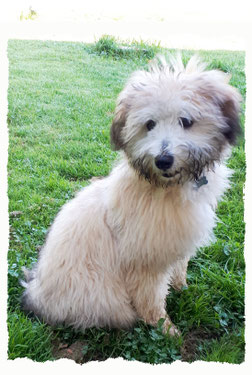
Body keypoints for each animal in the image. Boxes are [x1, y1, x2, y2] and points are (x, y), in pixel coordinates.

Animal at [21, 54, 242, 336]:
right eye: (149, 124)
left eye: (186, 121)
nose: (163, 160)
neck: (165, 188)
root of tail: (36, 294)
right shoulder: (146, 259)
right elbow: (151, 297)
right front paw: (164, 327)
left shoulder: (176, 241)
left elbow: (180, 266)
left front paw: (181, 286)